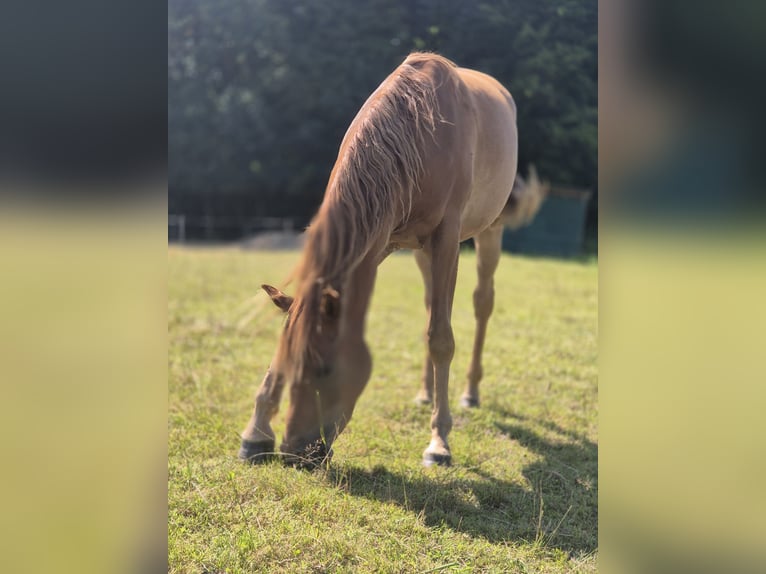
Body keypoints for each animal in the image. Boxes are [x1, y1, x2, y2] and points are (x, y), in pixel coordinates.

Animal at [239, 52, 524, 468]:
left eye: (325, 369)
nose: (295, 453)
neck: (420, 132)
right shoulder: (378, 241)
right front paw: (255, 432)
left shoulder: (446, 239)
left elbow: (442, 338)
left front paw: (439, 443)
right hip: (421, 252)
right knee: (431, 306)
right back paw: (425, 393)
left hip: (489, 232)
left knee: (481, 303)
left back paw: (470, 393)